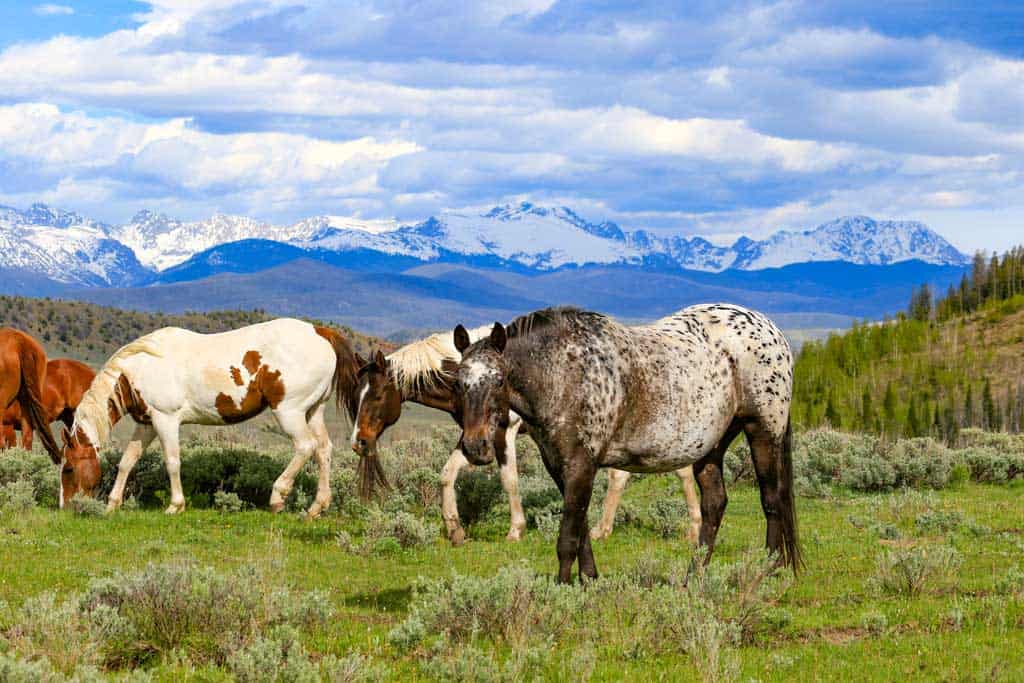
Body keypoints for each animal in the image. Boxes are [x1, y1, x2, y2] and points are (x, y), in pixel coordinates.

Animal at [61, 317, 360, 516]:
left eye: (68, 468)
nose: (65, 506)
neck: (139, 369)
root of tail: (320, 332)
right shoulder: (146, 424)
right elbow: (127, 461)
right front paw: (113, 504)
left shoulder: (166, 420)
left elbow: (172, 462)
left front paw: (175, 506)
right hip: (313, 412)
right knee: (323, 450)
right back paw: (317, 507)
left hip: (290, 412)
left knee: (305, 447)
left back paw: (277, 497)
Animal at [352, 327, 704, 548]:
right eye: (357, 394)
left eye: (377, 396)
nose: (359, 442)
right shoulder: (473, 435)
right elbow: (446, 474)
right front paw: (455, 530)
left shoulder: (503, 432)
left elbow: (509, 480)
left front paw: (515, 530)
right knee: (626, 475)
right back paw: (604, 530)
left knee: (678, 470)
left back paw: (692, 528)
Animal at [454, 307, 798, 585]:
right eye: (458, 382)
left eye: (499, 380)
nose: (474, 446)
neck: (564, 372)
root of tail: (772, 331)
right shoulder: (559, 467)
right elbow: (580, 528)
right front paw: (590, 578)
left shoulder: (581, 465)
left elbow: (568, 536)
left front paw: (562, 587)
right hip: (711, 448)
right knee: (715, 504)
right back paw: (694, 575)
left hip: (762, 432)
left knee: (771, 500)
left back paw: (770, 568)